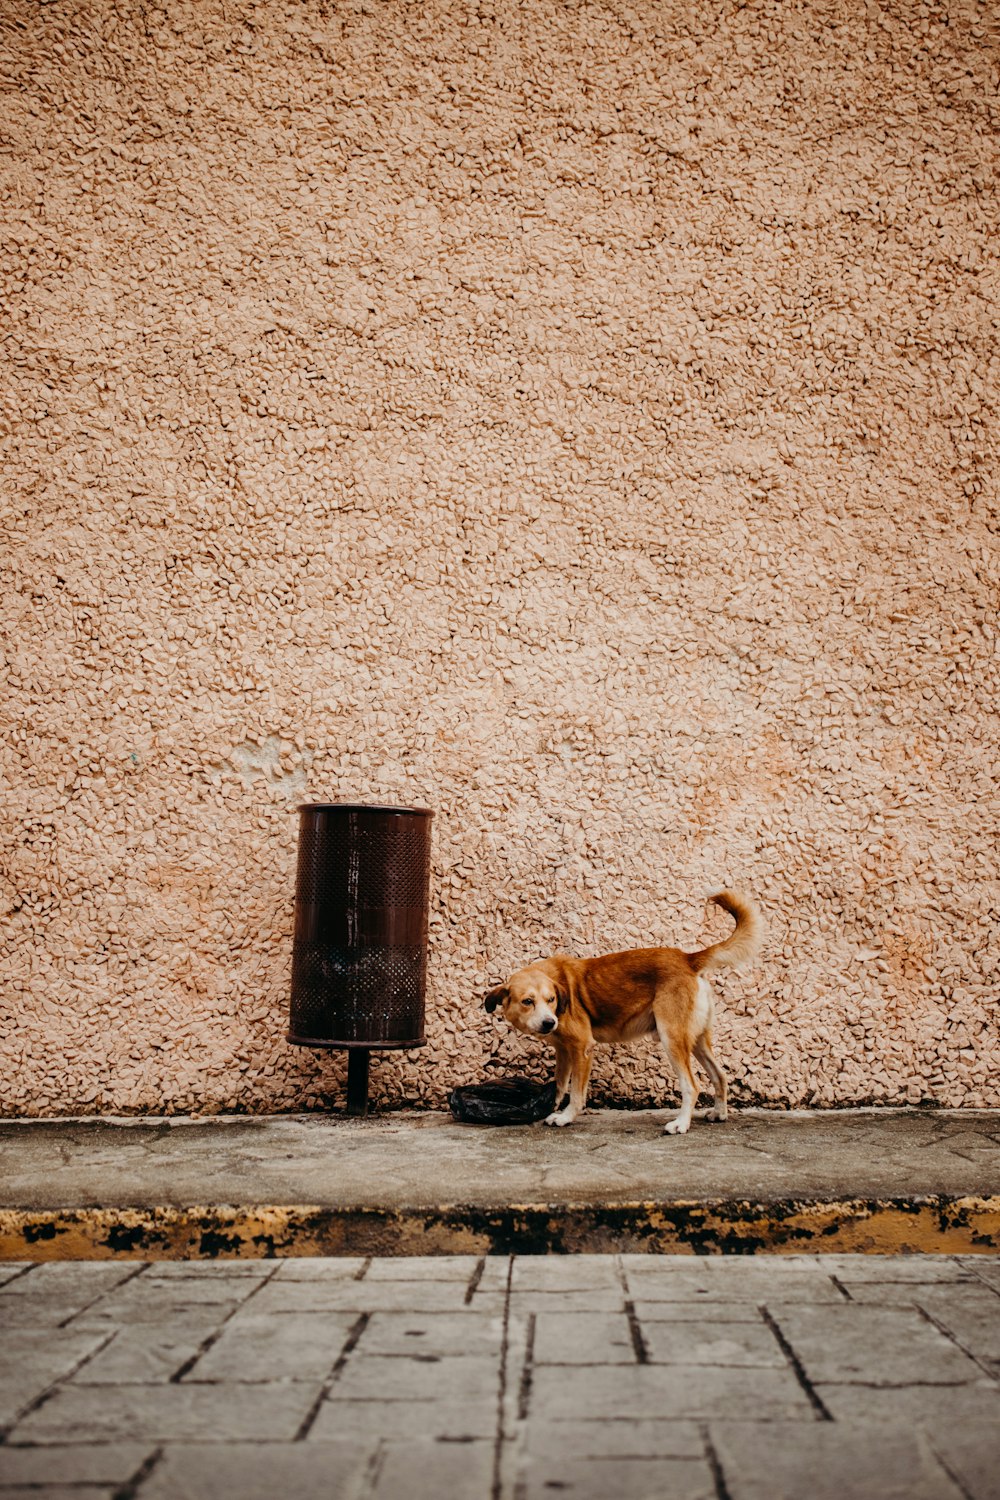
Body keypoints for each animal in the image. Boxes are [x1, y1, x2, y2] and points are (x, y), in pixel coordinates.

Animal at [482, 882, 758, 1128]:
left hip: (671, 1036)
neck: (555, 979)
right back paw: (719, 1113)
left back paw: (681, 1124)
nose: (550, 1022)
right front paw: (550, 1108)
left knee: (692, 1085)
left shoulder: (582, 1047)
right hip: (697, 1038)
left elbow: (576, 1091)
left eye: (550, 999)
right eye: (528, 1001)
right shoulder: (563, 1050)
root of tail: (688, 959)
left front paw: (565, 1117)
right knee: (720, 1075)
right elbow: (560, 1085)